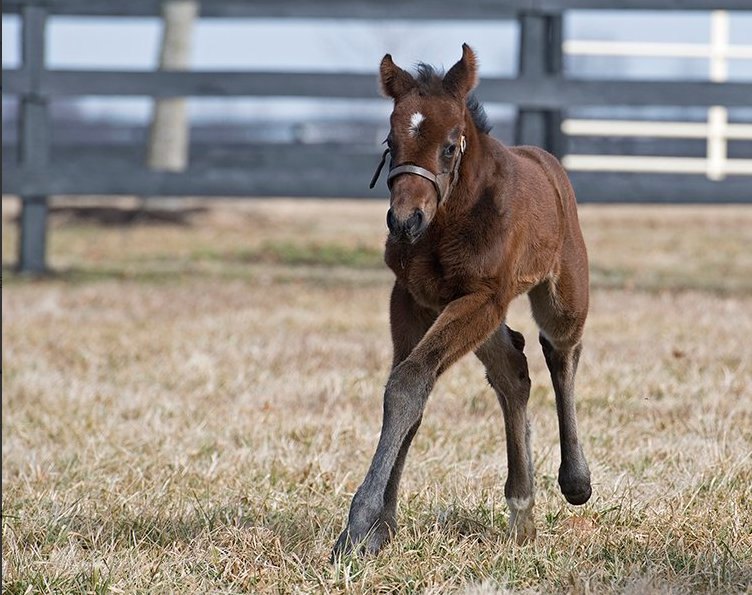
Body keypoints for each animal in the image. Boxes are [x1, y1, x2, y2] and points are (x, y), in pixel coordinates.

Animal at [332, 43, 592, 560]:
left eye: (450, 146)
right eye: (390, 142)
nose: (404, 221)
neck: (449, 220)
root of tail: (547, 162)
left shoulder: (484, 297)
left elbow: (409, 382)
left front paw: (359, 526)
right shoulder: (412, 298)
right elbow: (408, 387)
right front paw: (380, 528)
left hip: (561, 292)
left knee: (561, 350)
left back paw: (574, 480)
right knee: (513, 370)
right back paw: (521, 510)